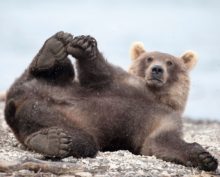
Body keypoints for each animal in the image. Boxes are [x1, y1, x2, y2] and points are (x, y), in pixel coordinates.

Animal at [4, 31, 217, 171]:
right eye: (149, 59)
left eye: (170, 62)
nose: (157, 69)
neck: (156, 95)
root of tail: (16, 103)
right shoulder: (122, 83)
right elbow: (98, 73)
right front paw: (84, 45)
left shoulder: (163, 119)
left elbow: (159, 142)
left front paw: (204, 157)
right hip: (53, 86)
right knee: (53, 72)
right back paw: (52, 49)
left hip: (53, 118)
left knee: (84, 141)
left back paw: (52, 140)